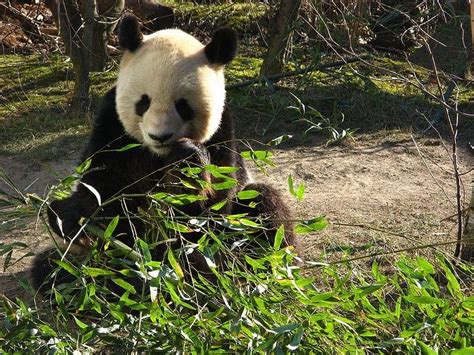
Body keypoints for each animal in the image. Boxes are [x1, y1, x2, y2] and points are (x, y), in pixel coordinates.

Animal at [31, 14, 294, 292]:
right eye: (143, 102)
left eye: (183, 106)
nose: (160, 136)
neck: (157, 154)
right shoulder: (112, 127)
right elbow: (102, 189)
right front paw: (75, 219)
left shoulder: (222, 131)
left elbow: (213, 205)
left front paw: (187, 163)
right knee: (52, 268)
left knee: (262, 208)